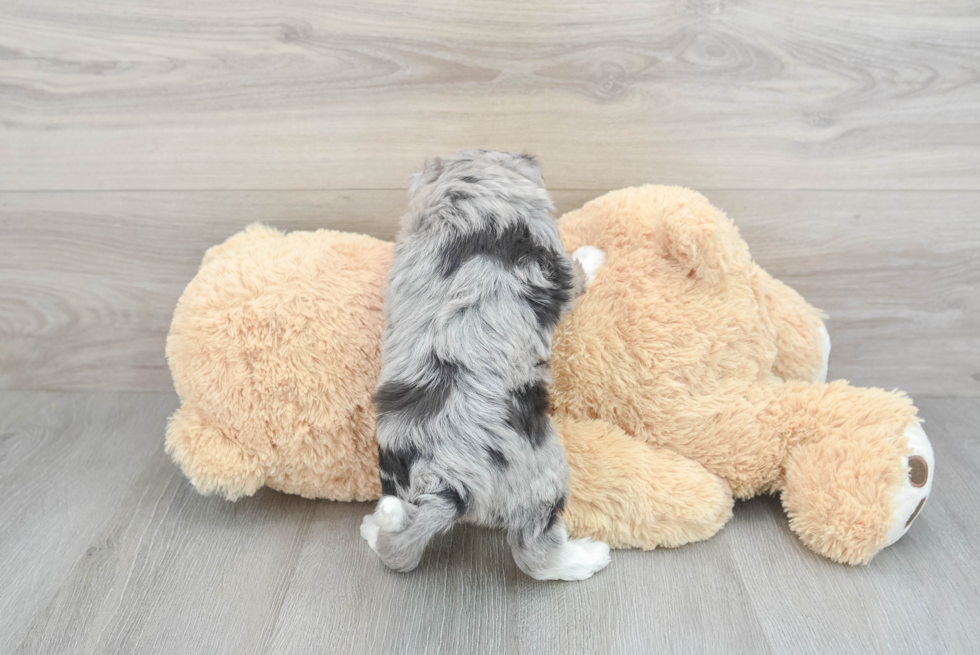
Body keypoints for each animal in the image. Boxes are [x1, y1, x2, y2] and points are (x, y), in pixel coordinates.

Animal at [360, 151, 604, 580]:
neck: (462, 197)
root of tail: (447, 482)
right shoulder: (557, 261)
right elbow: (578, 272)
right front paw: (594, 256)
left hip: (401, 485)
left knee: (399, 547)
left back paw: (373, 529)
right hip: (543, 481)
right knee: (536, 554)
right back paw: (589, 557)